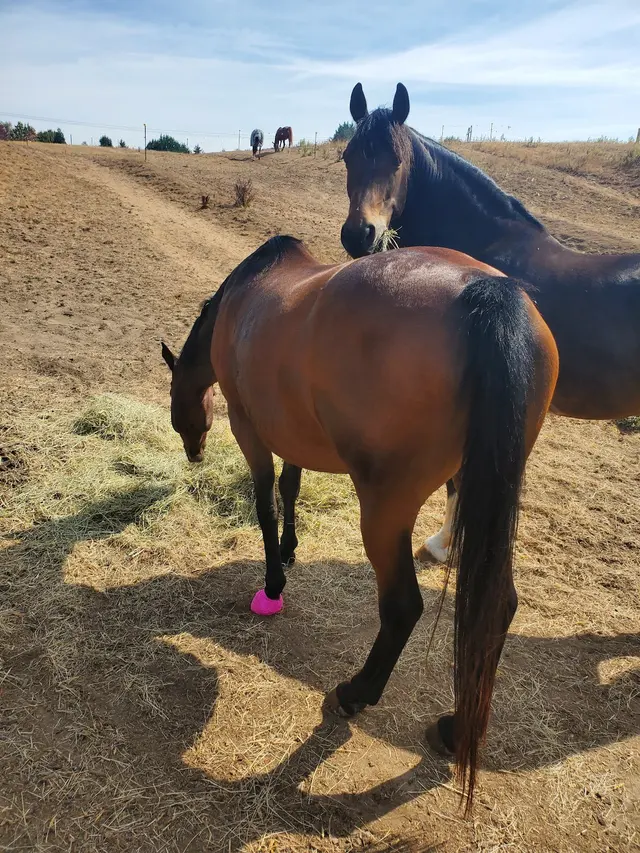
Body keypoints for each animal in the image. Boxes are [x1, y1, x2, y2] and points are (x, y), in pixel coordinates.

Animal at [161, 235, 559, 808]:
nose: (193, 452)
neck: (241, 299)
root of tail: (487, 292)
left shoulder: (249, 428)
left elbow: (265, 502)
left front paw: (273, 584)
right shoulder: (292, 433)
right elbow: (291, 488)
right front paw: (289, 551)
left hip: (384, 509)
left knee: (402, 607)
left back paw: (355, 693)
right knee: (495, 607)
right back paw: (455, 729)